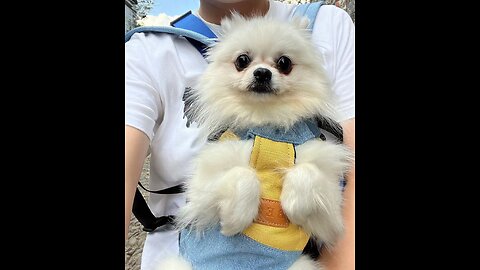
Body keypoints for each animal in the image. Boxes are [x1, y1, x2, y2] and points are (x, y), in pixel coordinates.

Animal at [158, 13, 352, 270]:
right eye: (242, 60)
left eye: (284, 63)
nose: (262, 73)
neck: (268, 127)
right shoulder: (202, 189)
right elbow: (244, 174)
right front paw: (234, 221)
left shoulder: (329, 215)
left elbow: (306, 171)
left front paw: (295, 209)